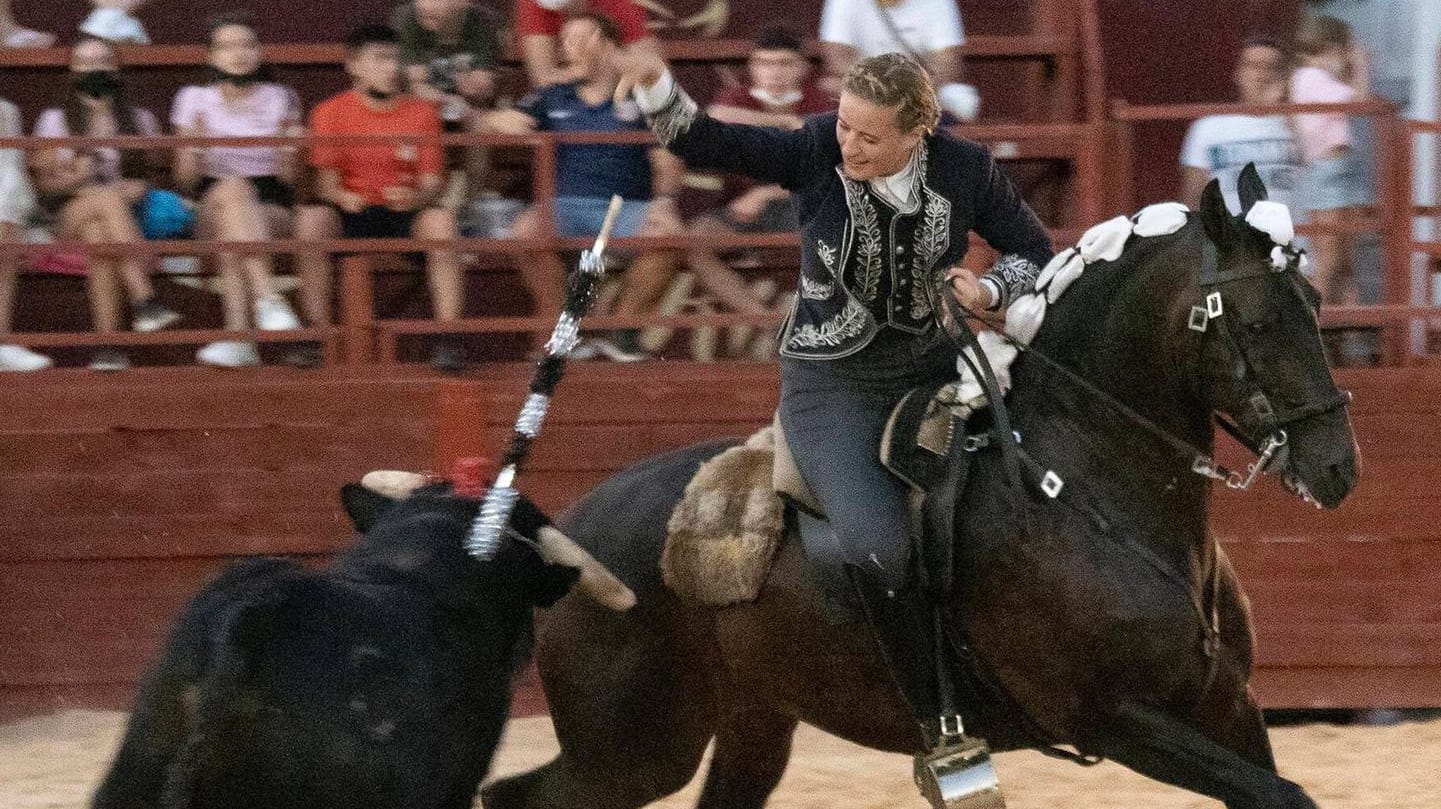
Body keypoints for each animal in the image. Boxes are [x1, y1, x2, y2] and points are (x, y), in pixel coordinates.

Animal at [487, 170, 1360, 807]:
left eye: (1315, 302)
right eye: (1255, 321)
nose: (1338, 467)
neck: (1085, 485)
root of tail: (565, 527)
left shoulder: (1225, 703)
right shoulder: (1115, 716)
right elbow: (1284, 795)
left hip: (748, 723)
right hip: (632, 748)